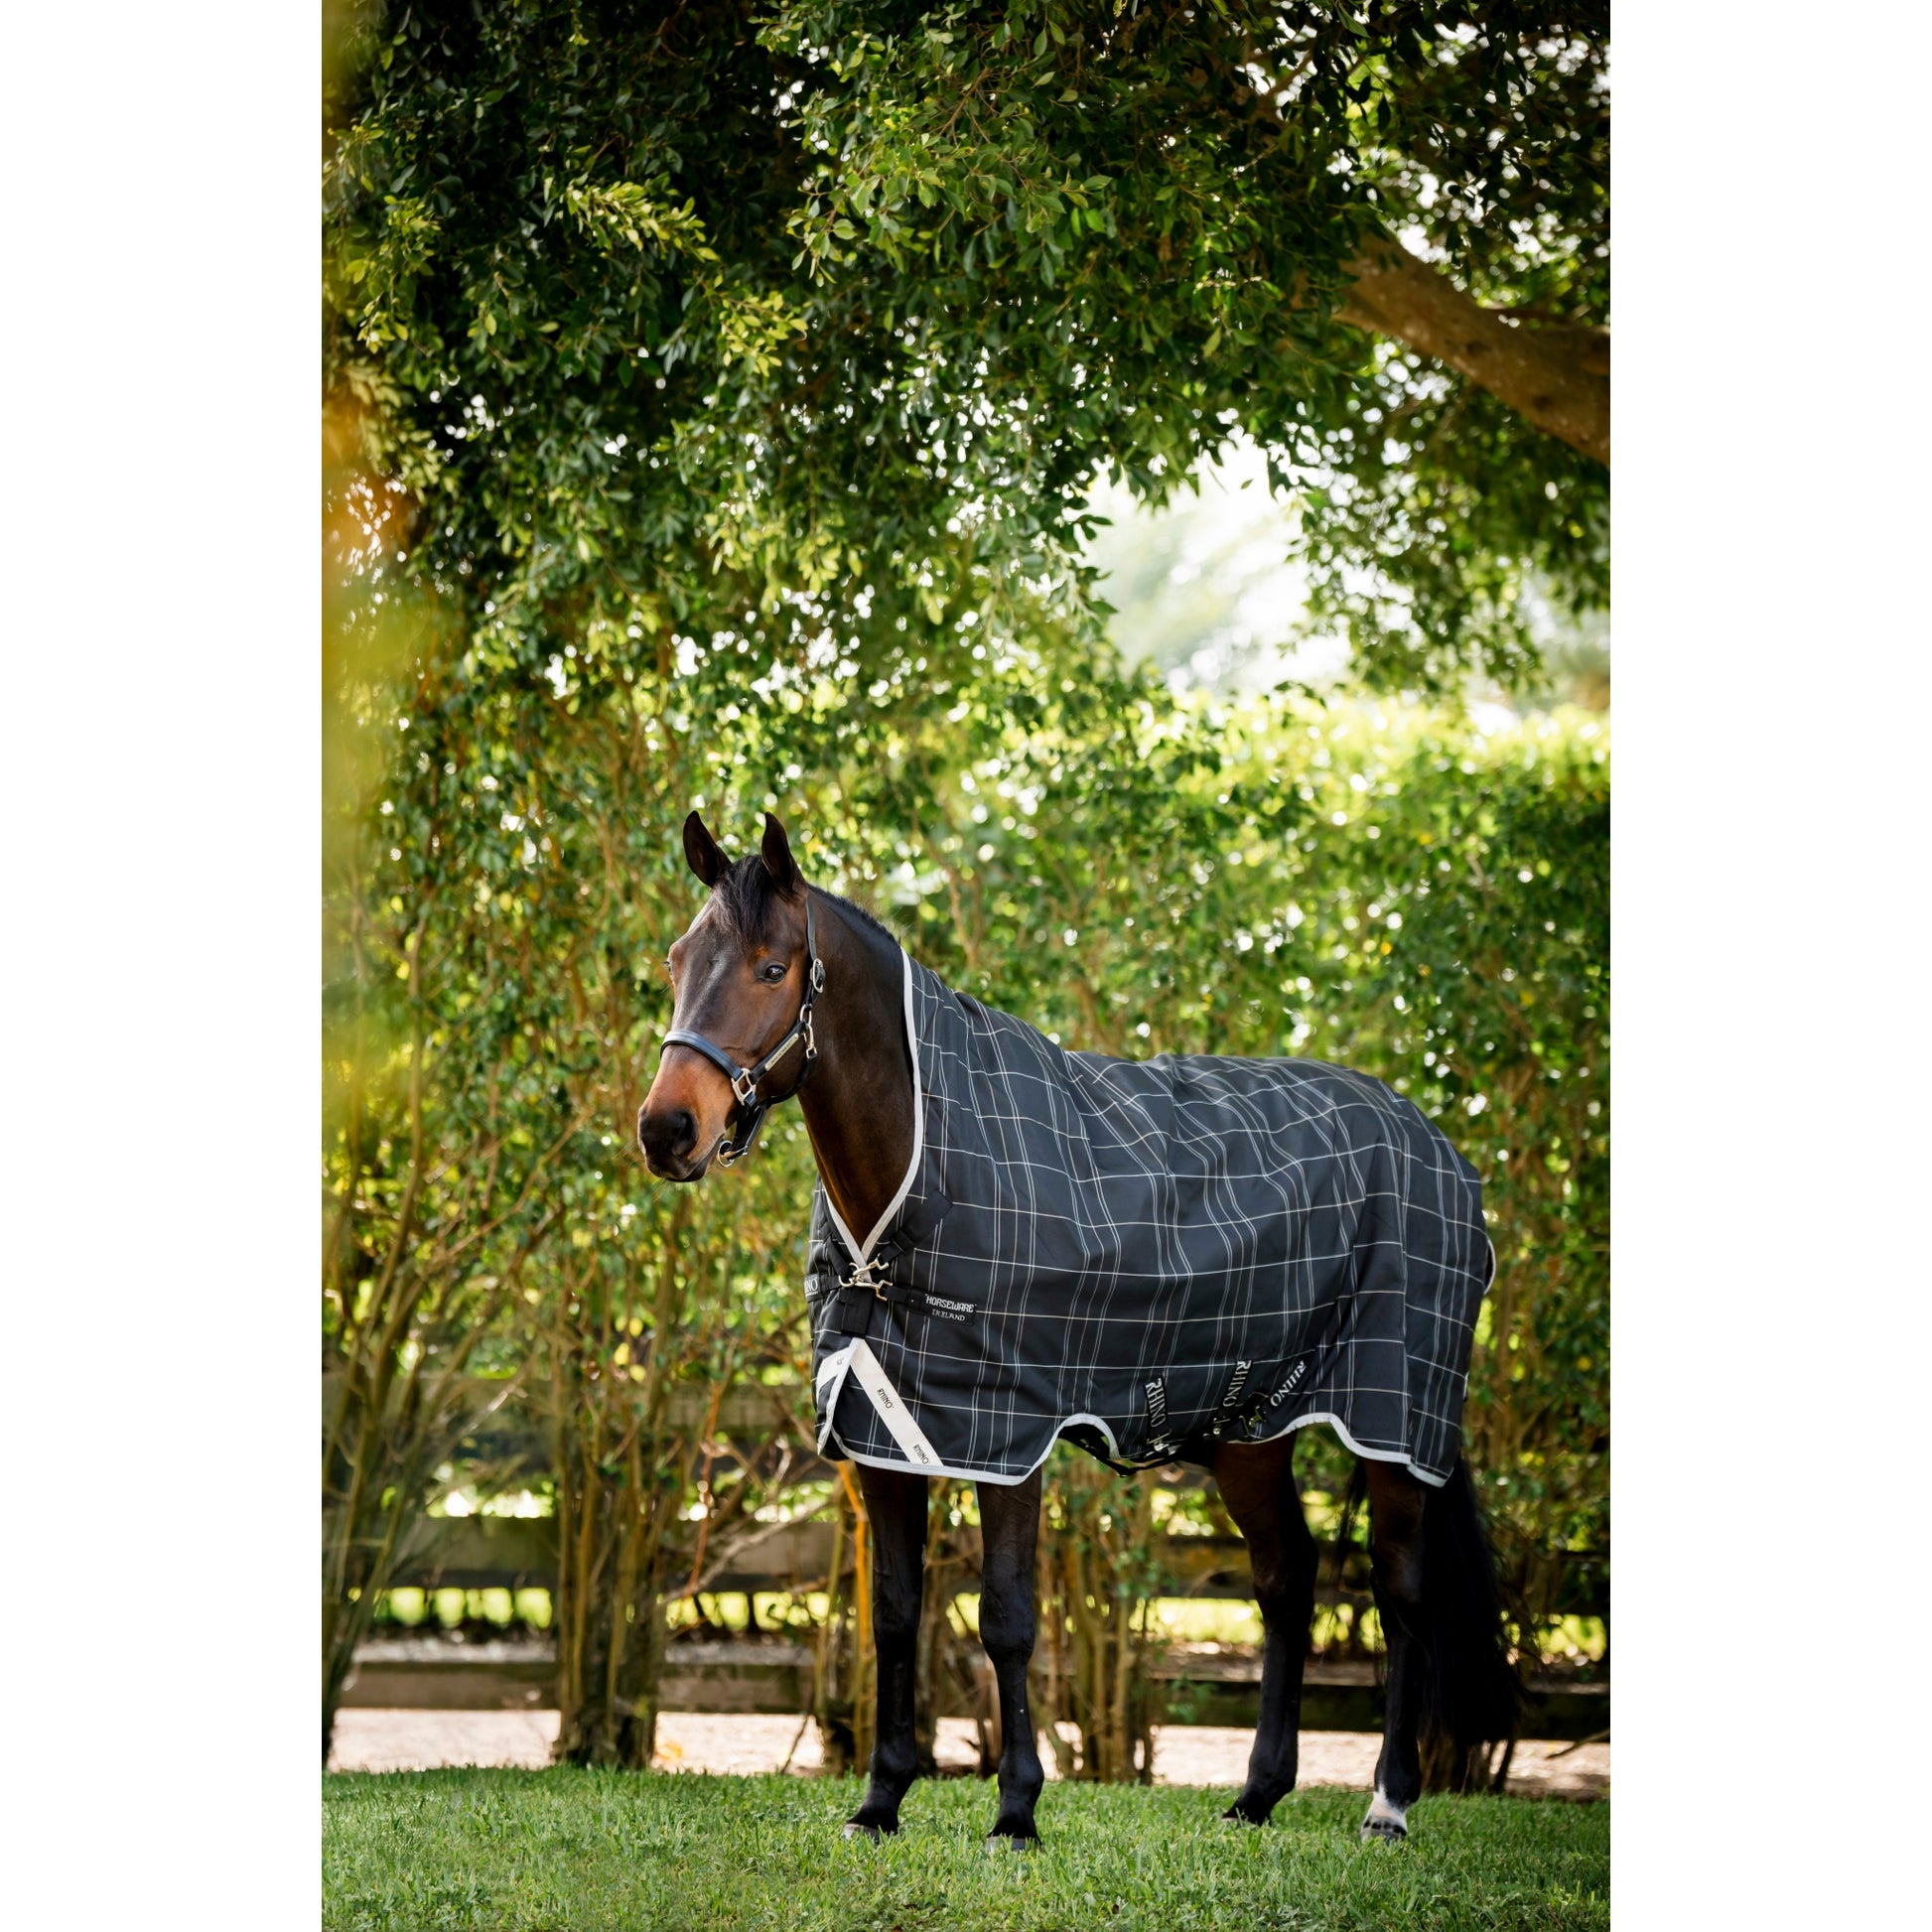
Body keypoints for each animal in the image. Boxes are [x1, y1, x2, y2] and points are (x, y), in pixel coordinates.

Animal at [637, 810, 1517, 1848]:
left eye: (772, 967)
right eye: (677, 959)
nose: (666, 1130)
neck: (923, 1171)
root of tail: (1439, 1146)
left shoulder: (1011, 1439)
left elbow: (1006, 1618)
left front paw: (1016, 1811)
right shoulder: (882, 1430)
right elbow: (895, 1614)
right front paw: (881, 1800)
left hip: (1395, 1425)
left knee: (1402, 1592)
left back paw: (1389, 1801)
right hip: (1252, 1427)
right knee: (1286, 1579)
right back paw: (1257, 1796)